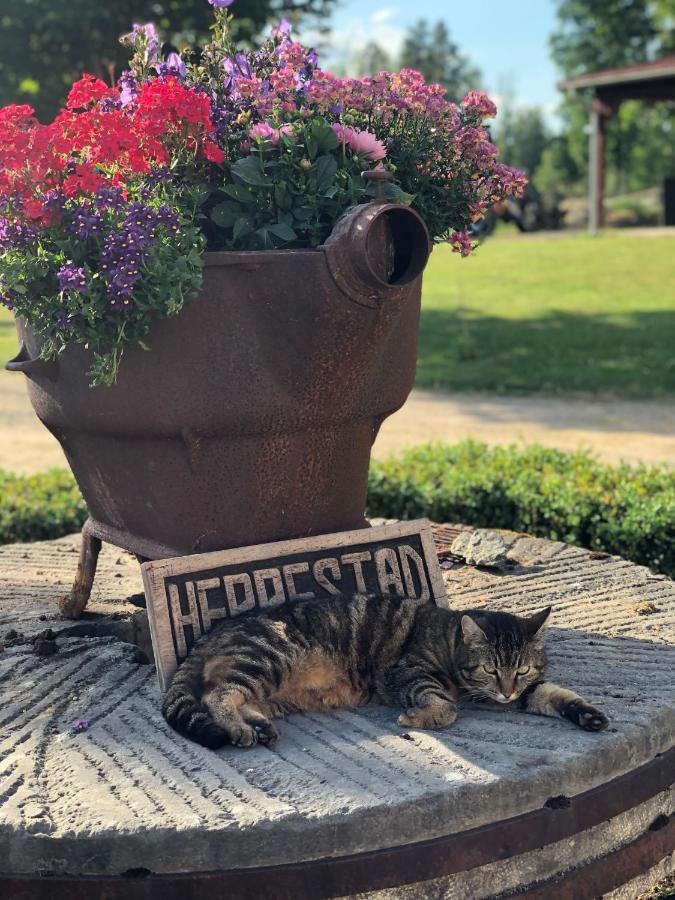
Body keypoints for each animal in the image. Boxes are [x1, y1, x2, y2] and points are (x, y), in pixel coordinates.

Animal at [161, 596, 608, 748]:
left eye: (523, 669)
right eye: (490, 669)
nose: (507, 692)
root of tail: (212, 632)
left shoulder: (530, 688)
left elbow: (555, 694)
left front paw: (588, 713)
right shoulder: (408, 673)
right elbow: (446, 708)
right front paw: (418, 716)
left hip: (273, 691)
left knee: (235, 697)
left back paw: (257, 726)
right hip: (268, 659)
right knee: (217, 693)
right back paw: (239, 728)